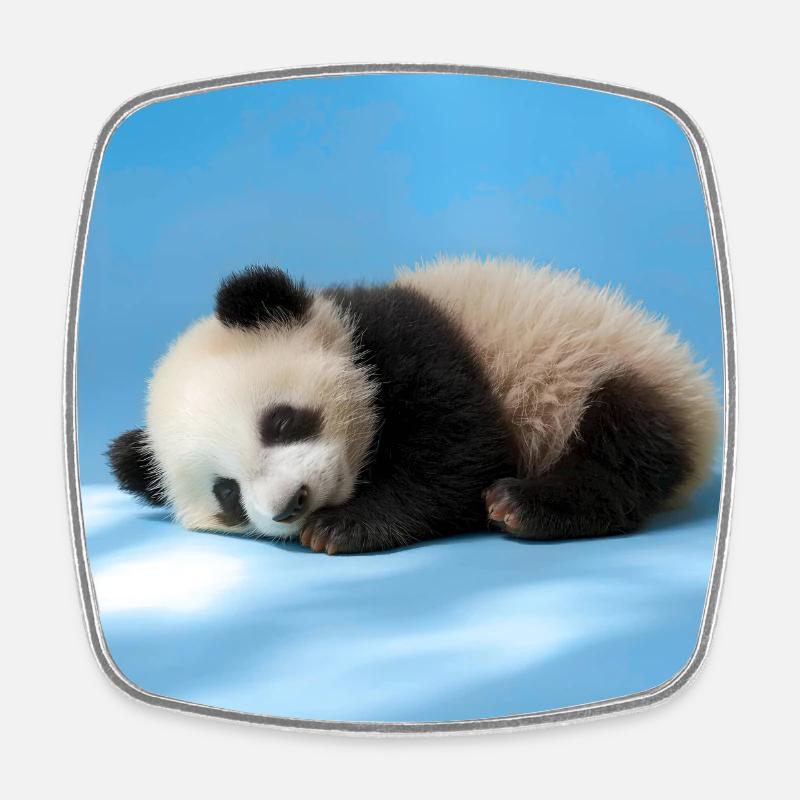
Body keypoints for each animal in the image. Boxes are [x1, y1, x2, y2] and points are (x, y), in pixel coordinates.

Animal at [108, 256, 719, 555]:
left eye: (281, 422)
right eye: (226, 494)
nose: (291, 505)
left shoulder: (411, 341)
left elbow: (459, 448)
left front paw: (343, 527)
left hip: (601, 368)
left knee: (624, 444)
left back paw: (526, 504)